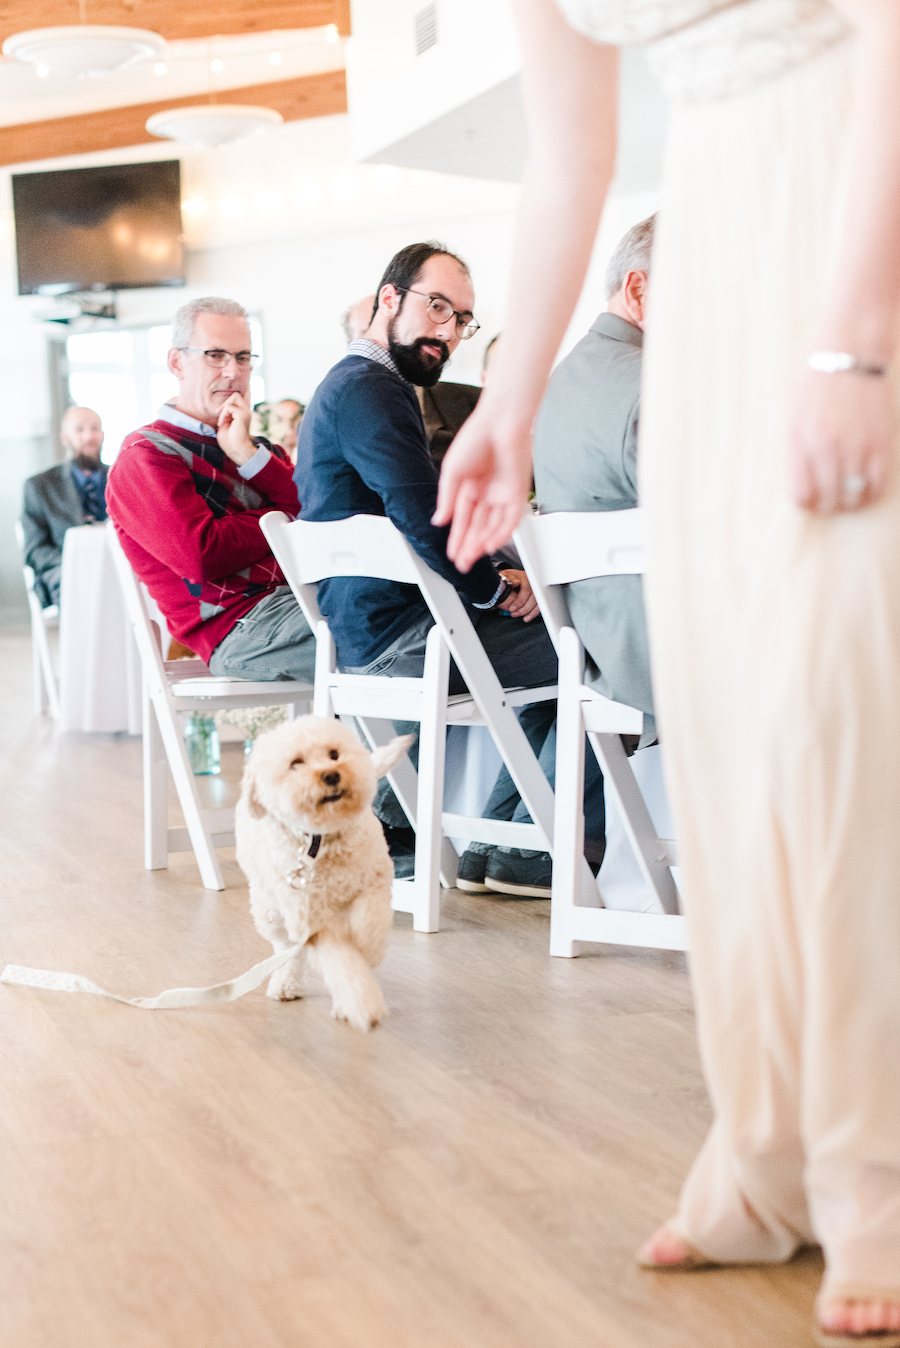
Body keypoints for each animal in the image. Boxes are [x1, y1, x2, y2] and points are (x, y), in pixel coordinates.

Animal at [234, 717, 412, 1029]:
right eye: (296, 763)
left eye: (334, 754)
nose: (330, 774)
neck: (321, 841)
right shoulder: (312, 920)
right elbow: (343, 963)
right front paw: (363, 1004)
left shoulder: (375, 883)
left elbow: (370, 924)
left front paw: (370, 950)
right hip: (269, 912)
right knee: (285, 949)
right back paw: (285, 983)